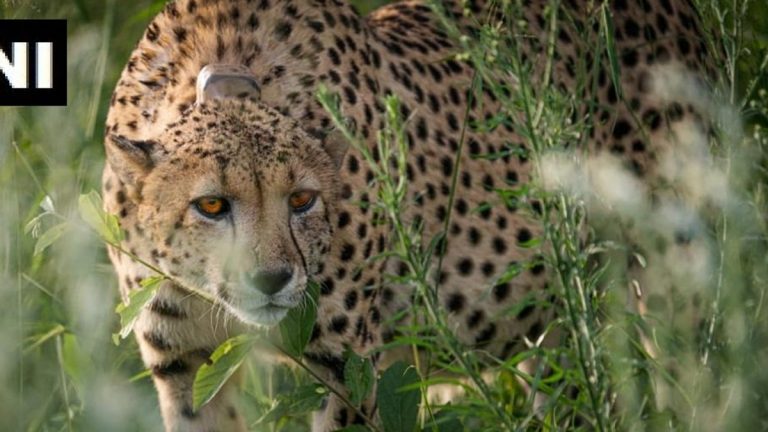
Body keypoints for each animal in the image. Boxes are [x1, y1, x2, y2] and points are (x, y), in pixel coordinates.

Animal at [102, 1, 712, 430]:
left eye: (302, 200)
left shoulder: (348, 369)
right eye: (211, 205)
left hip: (670, 276)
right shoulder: (183, 367)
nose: (271, 280)